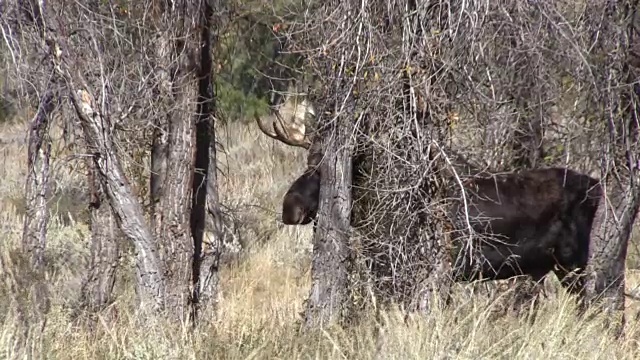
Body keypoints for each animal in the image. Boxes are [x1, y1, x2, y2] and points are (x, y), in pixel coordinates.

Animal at [254, 102, 600, 298]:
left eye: (329, 170)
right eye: (309, 161)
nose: (289, 206)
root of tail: (596, 186)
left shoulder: (439, 269)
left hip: (572, 261)